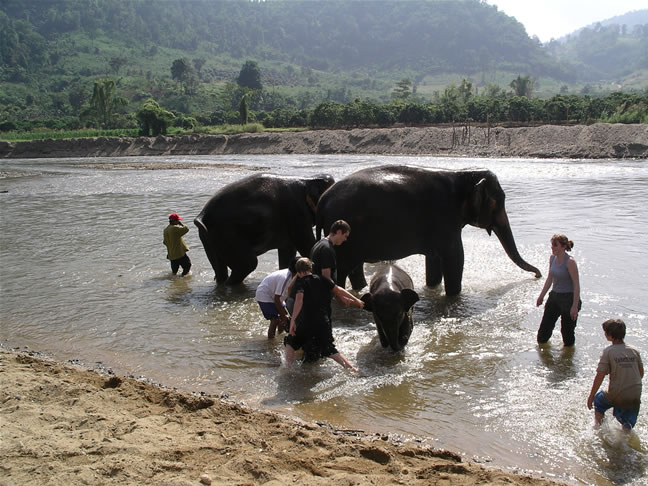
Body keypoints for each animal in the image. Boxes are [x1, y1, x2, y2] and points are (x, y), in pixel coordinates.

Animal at [194, 173, 334, 284]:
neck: (308, 179)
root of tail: (202, 215)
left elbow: (288, 251)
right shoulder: (296, 212)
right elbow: (306, 244)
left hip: (208, 237)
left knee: (219, 269)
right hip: (227, 234)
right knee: (248, 263)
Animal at [316, 164, 540, 296]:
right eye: (497, 202)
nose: (538, 275)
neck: (464, 174)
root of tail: (322, 200)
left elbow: (434, 258)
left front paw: (432, 287)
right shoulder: (445, 218)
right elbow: (455, 257)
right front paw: (454, 297)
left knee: (355, 266)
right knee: (341, 269)